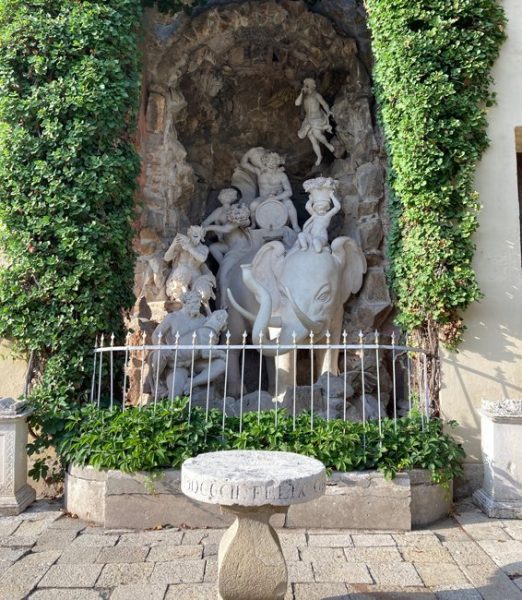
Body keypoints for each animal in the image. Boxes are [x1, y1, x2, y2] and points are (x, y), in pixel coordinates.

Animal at [225, 237, 364, 396]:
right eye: (282, 294)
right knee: (235, 339)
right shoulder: (277, 311)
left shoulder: (337, 310)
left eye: (324, 296)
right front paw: (284, 398)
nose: (246, 268)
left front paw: (332, 388)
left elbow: (329, 343)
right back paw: (237, 392)